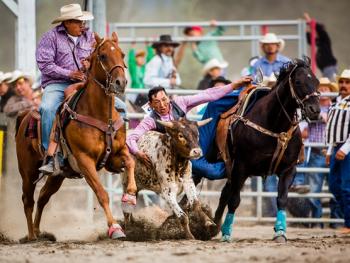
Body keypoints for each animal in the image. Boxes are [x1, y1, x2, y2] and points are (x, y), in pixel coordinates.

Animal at [16, 32, 137, 243]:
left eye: (122, 54)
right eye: (103, 56)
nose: (120, 83)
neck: (100, 115)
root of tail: (24, 117)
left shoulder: (116, 155)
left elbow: (131, 162)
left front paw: (129, 197)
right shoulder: (84, 160)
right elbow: (102, 193)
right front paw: (115, 228)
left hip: (57, 175)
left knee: (43, 197)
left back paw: (39, 232)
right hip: (28, 170)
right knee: (28, 200)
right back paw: (31, 236)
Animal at [213, 57, 320, 243]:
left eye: (316, 81)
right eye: (298, 82)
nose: (315, 110)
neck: (274, 125)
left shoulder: (288, 169)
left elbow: (282, 199)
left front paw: (280, 232)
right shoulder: (241, 167)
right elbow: (235, 200)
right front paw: (226, 233)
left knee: (225, 192)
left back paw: (214, 224)